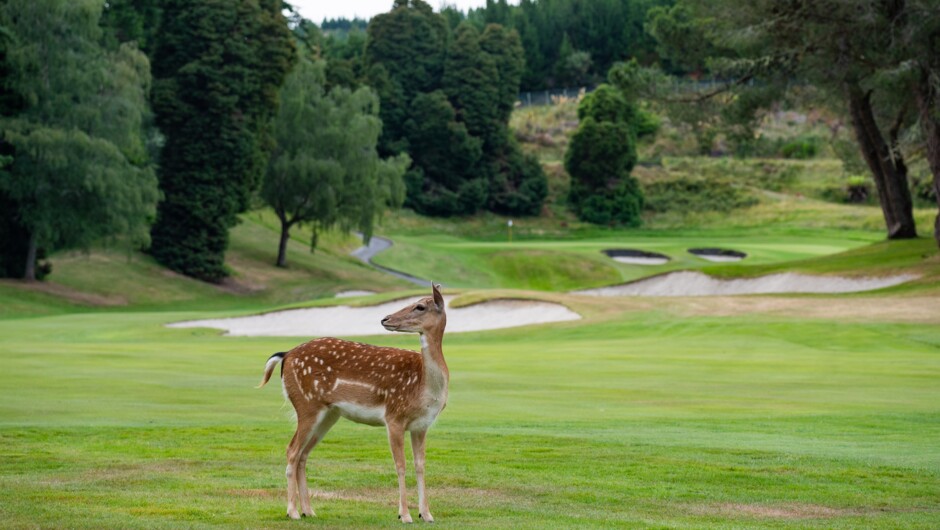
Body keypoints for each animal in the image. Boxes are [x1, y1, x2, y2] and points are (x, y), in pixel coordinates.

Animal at [258, 282, 448, 520]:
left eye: (420, 306)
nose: (385, 319)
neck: (423, 387)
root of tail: (286, 354)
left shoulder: (422, 425)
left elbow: (420, 465)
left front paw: (427, 514)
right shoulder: (394, 415)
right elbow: (400, 464)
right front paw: (404, 515)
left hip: (329, 414)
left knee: (303, 453)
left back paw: (309, 511)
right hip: (306, 404)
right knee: (292, 450)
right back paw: (292, 511)